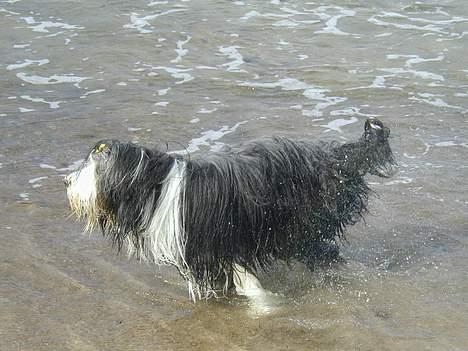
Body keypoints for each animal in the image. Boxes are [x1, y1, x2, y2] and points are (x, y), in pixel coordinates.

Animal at [65, 119, 394, 302]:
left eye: (94, 166)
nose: (67, 180)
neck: (157, 185)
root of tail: (335, 156)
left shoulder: (222, 241)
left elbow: (245, 277)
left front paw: (264, 301)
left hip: (302, 222)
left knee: (321, 250)